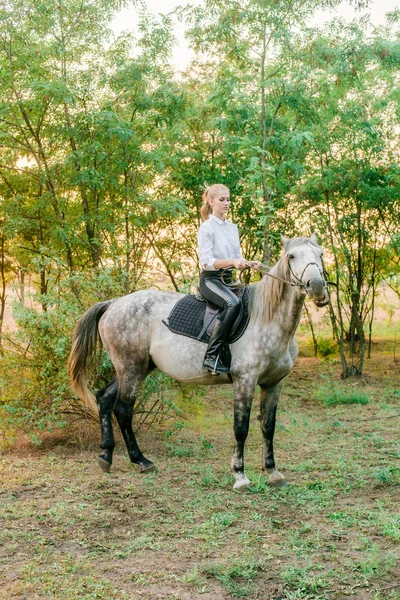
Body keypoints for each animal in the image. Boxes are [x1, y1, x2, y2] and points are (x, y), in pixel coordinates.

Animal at [68, 234, 328, 488]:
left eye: (321, 254)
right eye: (292, 256)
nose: (316, 287)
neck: (266, 318)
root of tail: (113, 304)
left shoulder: (274, 383)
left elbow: (268, 426)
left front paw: (273, 473)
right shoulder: (245, 381)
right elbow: (241, 428)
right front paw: (240, 476)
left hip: (133, 368)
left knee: (104, 398)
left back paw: (107, 456)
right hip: (132, 368)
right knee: (123, 410)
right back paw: (141, 460)